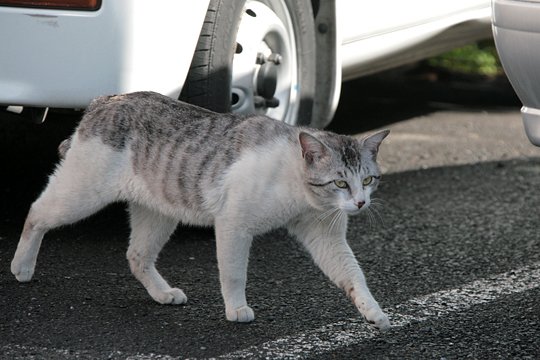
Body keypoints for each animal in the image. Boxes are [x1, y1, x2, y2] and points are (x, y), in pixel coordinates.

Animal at [10, 91, 390, 330]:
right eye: (340, 183)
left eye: (368, 180)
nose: (360, 202)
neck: (299, 187)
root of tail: (102, 101)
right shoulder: (233, 225)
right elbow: (234, 274)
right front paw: (236, 309)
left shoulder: (326, 236)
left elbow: (353, 275)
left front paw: (373, 311)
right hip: (83, 193)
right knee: (36, 212)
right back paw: (21, 266)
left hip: (158, 213)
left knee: (137, 255)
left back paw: (162, 293)